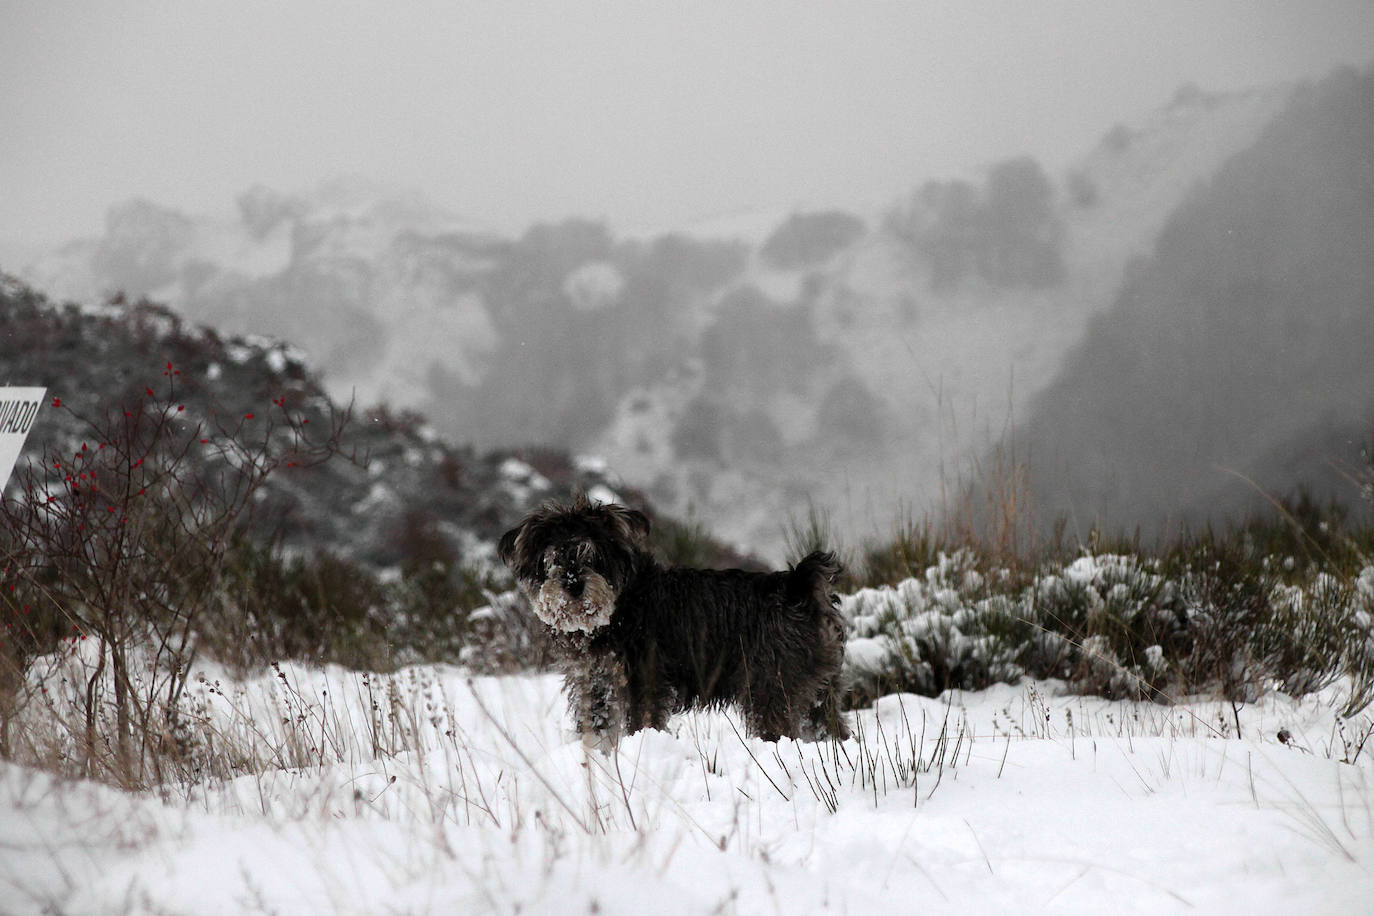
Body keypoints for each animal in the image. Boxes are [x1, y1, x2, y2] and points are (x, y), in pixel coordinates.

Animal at [500, 497, 851, 741]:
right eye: (551, 560)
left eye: (594, 557)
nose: (573, 585)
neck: (622, 605)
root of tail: (798, 586)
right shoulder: (595, 683)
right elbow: (599, 725)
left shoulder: (645, 681)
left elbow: (640, 722)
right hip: (819, 691)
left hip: (771, 687)